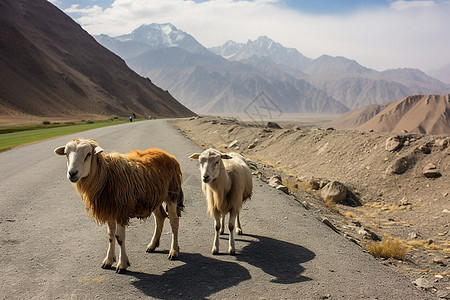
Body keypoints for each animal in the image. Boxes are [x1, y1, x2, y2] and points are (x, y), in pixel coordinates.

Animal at [53, 139, 184, 274]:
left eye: (88, 154)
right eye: (66, 154)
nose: (72, 173)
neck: (107, 176)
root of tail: (167, 154)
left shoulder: (121, 210)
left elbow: (119, 238)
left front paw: (122, 264)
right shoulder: (110, 210)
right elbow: (110, 236)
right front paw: (108, 260)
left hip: (172, 194)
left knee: (174, 221)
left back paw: (174, 251)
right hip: (154, 197)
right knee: (160, 218)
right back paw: (152, 245)